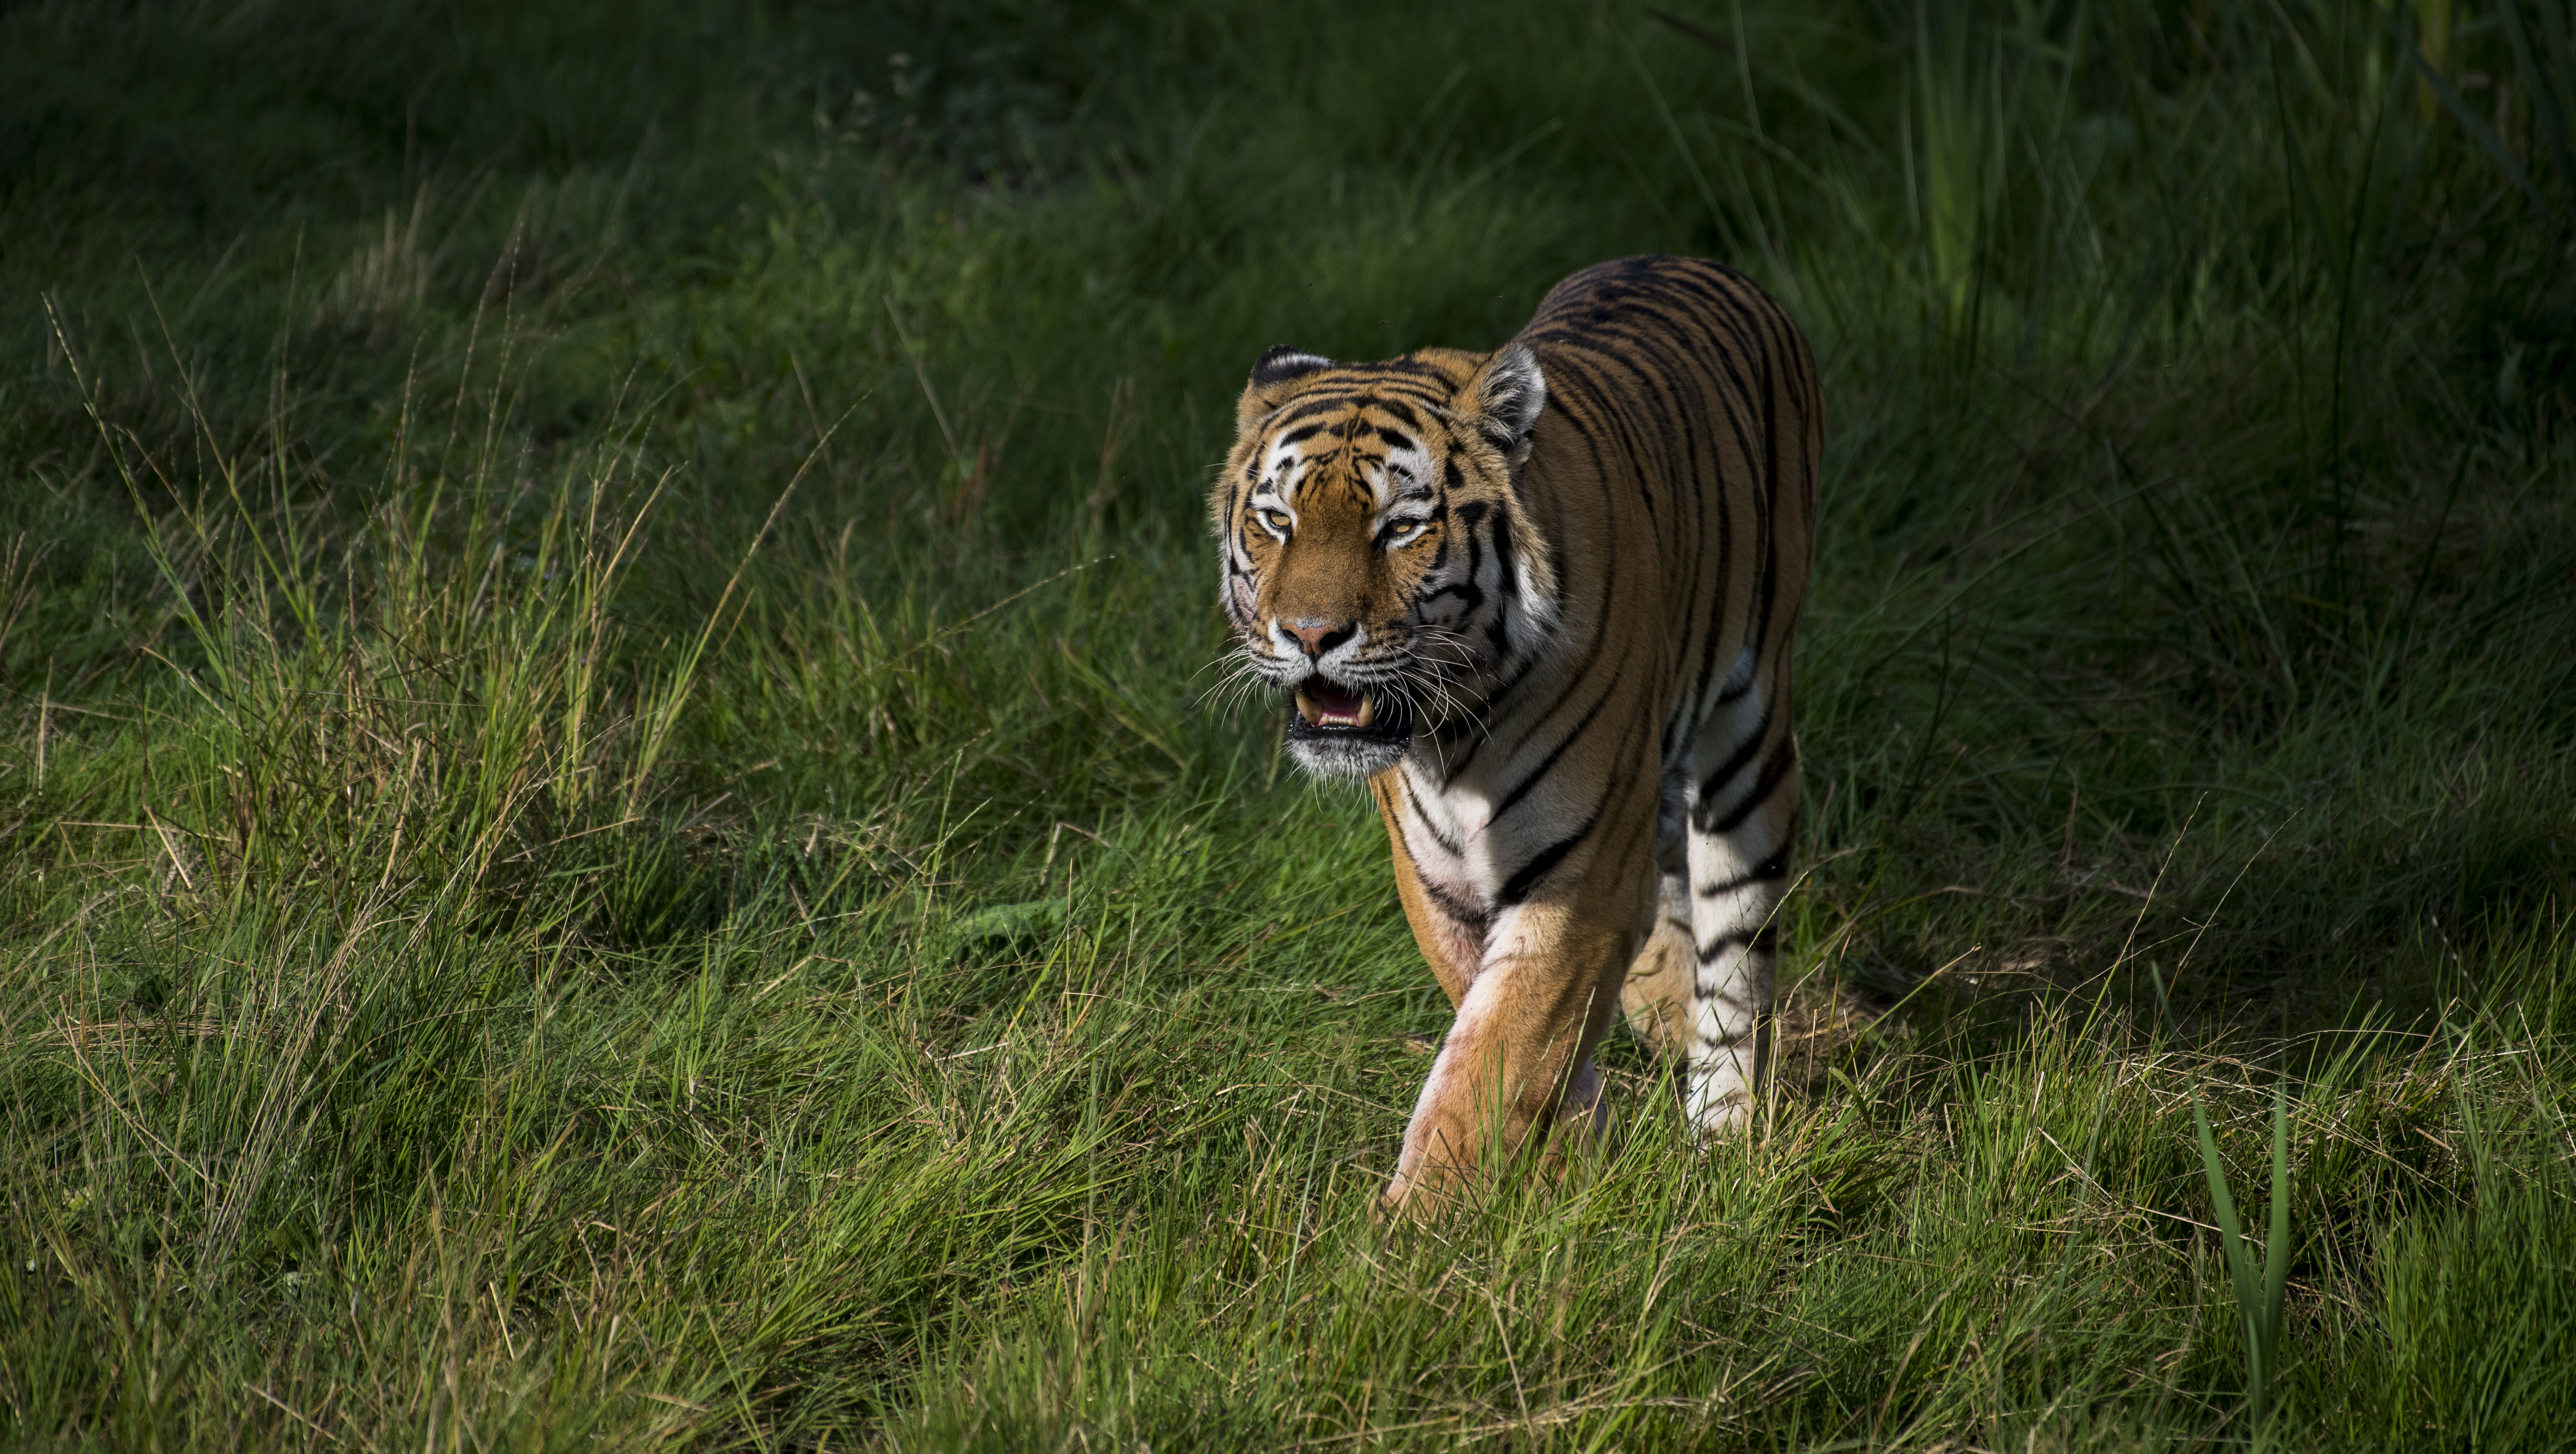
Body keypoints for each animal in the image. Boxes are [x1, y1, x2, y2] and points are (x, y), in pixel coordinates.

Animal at [1216, 252, 1824, 1217]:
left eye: (1400, 527)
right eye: (1278, 520)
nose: (1309, 634)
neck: (1453, 733)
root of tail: (1690, 261)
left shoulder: (1577, 877)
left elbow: (1491, 1061)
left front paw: (1404, 1237)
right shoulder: (1437, 881)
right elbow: (1512, 1037)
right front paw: (1567, 1165)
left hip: (1749, 746)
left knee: (1733, 971)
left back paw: (1721, 1138)